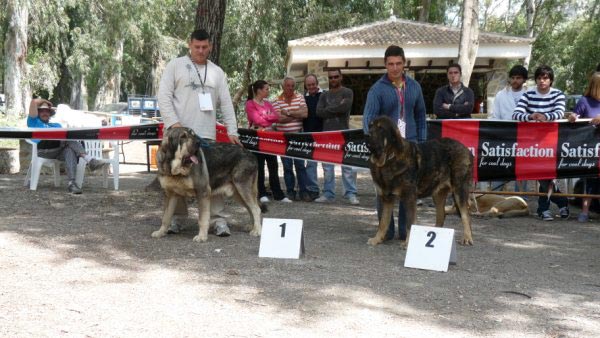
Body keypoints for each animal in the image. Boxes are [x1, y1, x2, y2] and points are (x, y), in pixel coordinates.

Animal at [366, 116, 474, 246]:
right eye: (370, 126)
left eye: (381, 128)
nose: (367, 134)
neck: (388, 159)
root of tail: (466, 149)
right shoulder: (387, 198)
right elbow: (383, 222)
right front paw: (377, 239)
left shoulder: (409, 197)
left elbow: (410, 222)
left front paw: (408, 242)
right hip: (438, 194)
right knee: (441, 215)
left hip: (459, 189)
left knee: (465, 215)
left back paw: (467, 238)